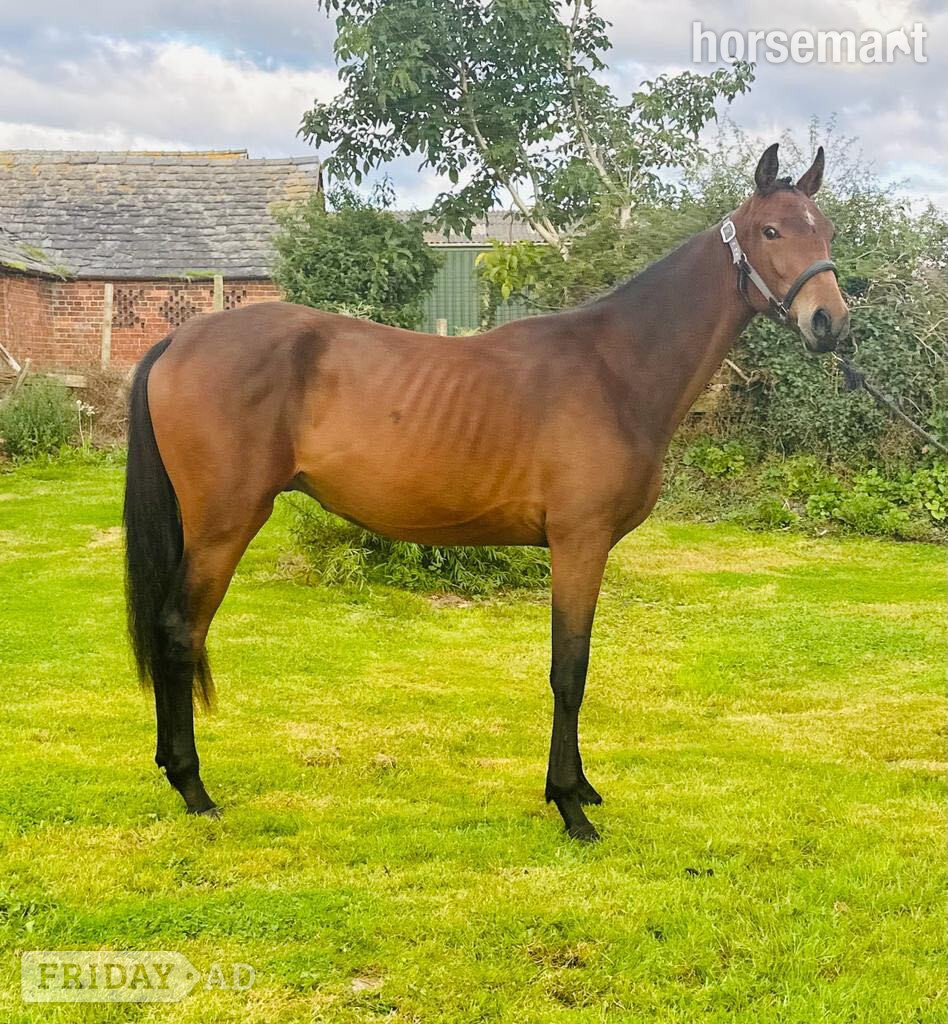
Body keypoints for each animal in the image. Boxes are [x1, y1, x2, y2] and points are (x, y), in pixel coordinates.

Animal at [124, 143, 849, 841]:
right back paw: (193, 788)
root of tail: (178, 339)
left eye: (826, 229)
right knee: (180, 631)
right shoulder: (579, 543)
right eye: (771, 230)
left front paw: (581, 788)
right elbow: (570, 670)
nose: (830, 323)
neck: (614, 368)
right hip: (224, 525)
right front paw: (569, 805)